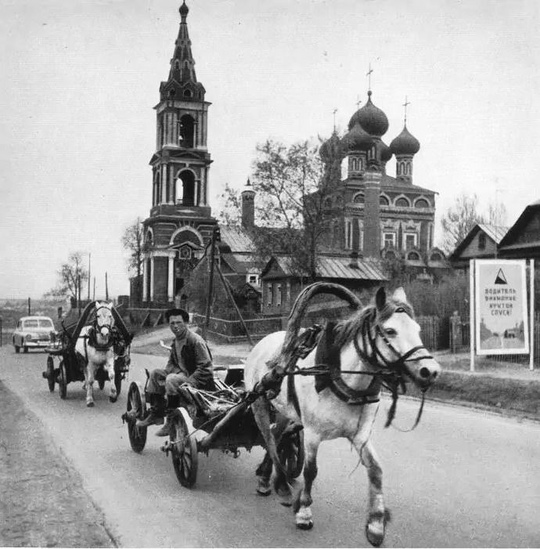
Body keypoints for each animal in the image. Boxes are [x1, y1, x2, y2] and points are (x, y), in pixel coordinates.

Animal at [243, 284, 440, 544]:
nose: (431, 371)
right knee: (269, 438)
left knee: (276, 436)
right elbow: (310, 471)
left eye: (417, 329)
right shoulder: (313, 435)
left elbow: (376, 469)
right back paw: (282, 486)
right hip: (259, 404)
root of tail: (262, 343)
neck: (339, 377)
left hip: (286, 411)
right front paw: (304, 511)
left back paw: (268, 480)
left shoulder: (360, 435)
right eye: (390, 330)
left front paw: (376, 523)